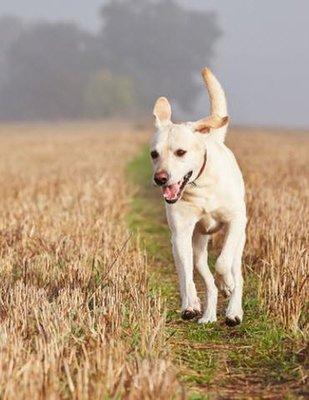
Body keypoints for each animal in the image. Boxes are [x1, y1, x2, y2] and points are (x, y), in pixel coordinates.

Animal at [149, 68, 245, 324]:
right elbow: (186, 274)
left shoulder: (236, 221)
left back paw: (233, 310)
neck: (201, 187)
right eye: (154, 154)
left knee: (236, 270)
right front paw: (191, 305)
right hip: (197, 244)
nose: (160, 178)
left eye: (180, 152)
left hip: (240, 240)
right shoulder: (181, 233)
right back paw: (207, 313)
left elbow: (222, 262)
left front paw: (227, 285)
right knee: (203, 279)